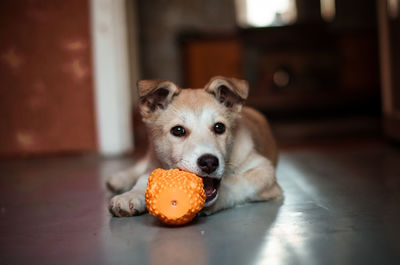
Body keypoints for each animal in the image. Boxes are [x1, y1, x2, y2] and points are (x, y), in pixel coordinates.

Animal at [106, 75, 282, 216]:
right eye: (178, 130)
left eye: (219, 127)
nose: (209, 162)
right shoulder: (155, 162)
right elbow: (145, 178)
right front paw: (131, 195)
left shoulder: (265, 171)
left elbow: (235, 183)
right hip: (152, 153)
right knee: (139, 166)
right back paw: (118, 179)